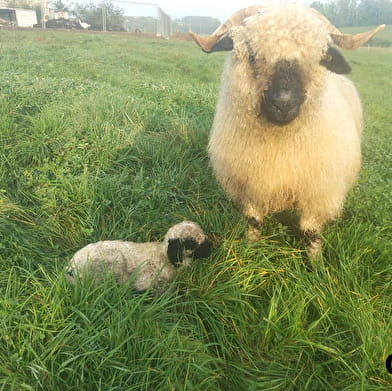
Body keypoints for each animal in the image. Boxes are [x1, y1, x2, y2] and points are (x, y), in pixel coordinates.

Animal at [191, 5, 386, 260]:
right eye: (252, 55)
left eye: (319, 58)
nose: (283, 104)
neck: (280, 143)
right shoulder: (250, 186)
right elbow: (253, 221)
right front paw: (250, 249)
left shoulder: (317, 194)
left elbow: (310, 232)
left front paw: (315, 264)